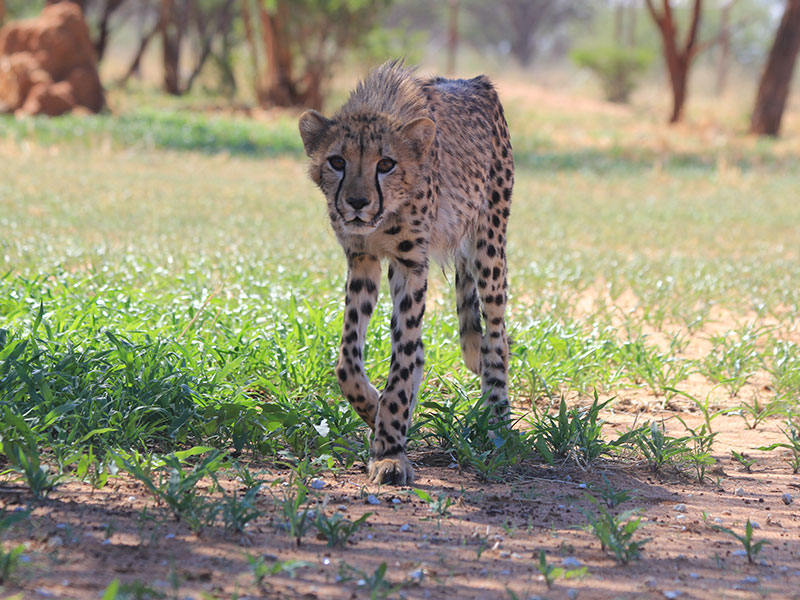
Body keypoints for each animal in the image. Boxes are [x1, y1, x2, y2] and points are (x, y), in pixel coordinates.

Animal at [298, 60, 513, 485]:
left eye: (386, 164)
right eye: (337, 161)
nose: (357, 203)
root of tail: (476, 81)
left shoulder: (411, 264)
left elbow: (402, 356)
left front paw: (389, 450)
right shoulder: (362, 259)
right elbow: (348, 362)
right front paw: (374, 410)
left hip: (489, 246)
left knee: (496, 337)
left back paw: (498, 420)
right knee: (424, 350)